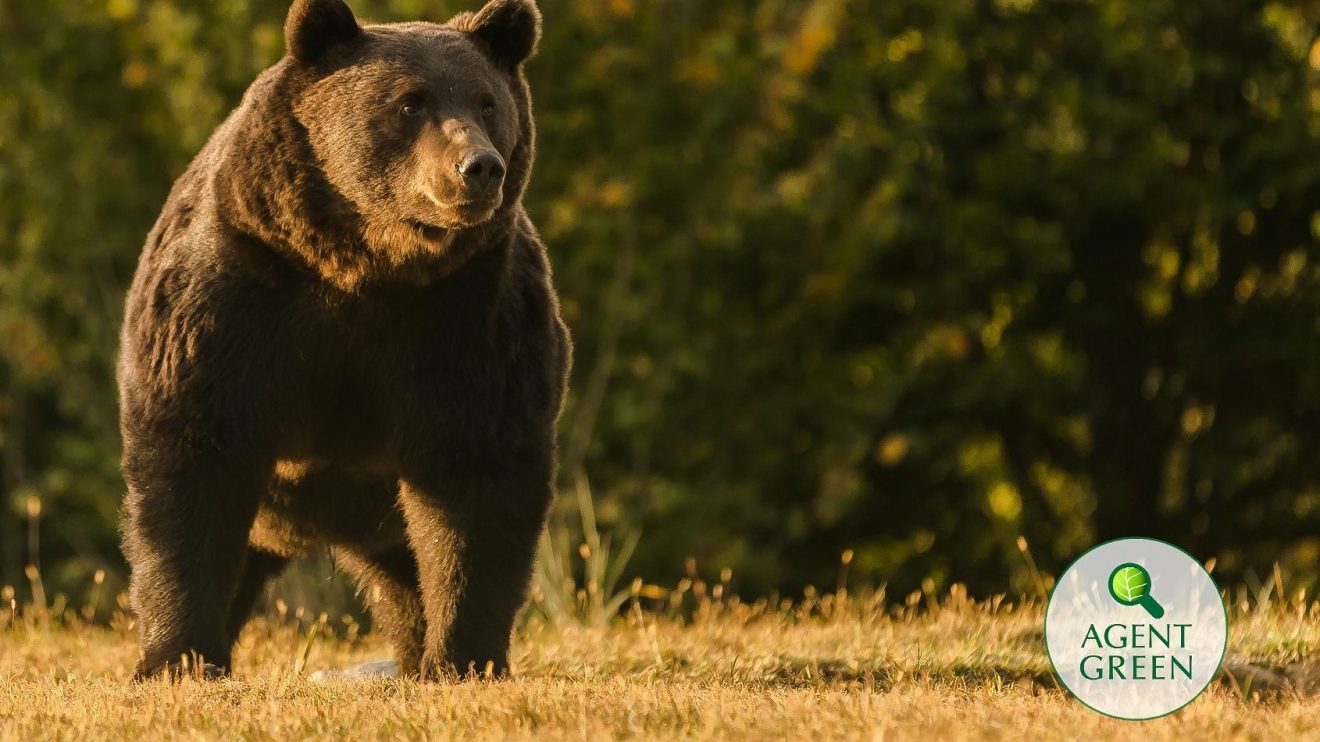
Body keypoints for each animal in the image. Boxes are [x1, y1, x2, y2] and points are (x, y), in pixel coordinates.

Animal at [117, 0, 570, 681]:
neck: (365, 262)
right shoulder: (233, 296)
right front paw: (178, 658)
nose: (479, 166)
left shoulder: (471, 316)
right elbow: (192, 461)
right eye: (410, 102)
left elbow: (476, 475)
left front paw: (462, 657)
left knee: (405, 576)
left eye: (488, 102)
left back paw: (414, 656)